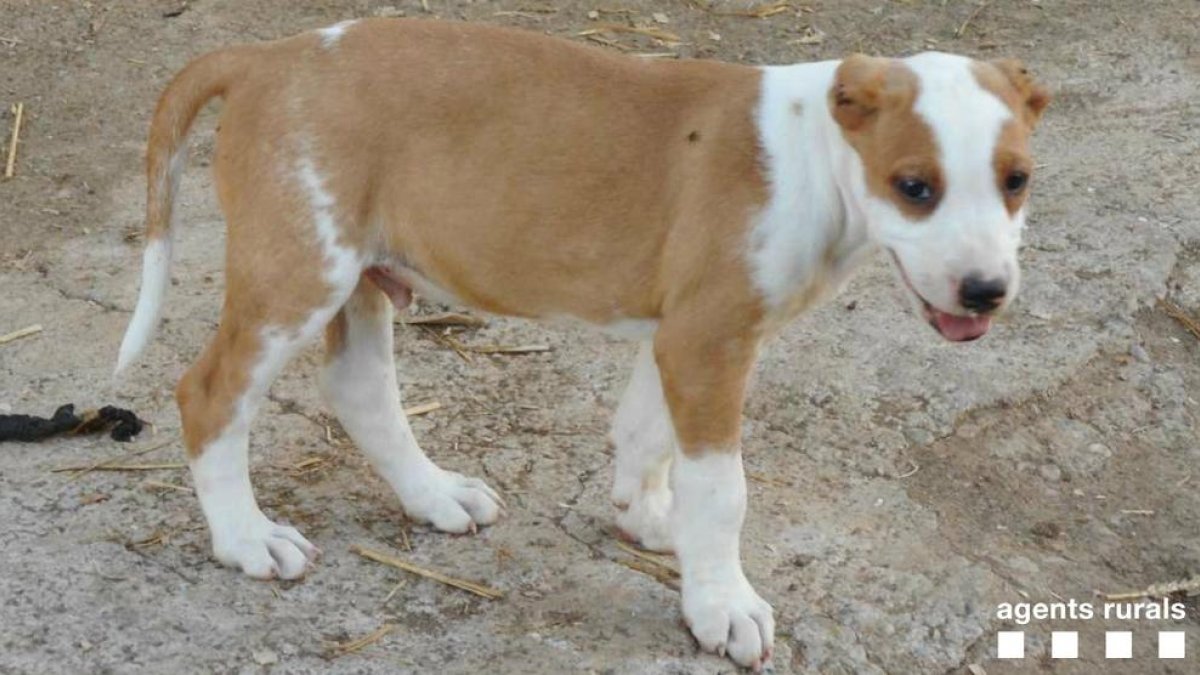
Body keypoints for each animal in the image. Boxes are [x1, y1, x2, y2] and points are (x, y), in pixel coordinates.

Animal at [117, 19, 1046, 667]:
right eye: (915, 186)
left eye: (1017, 180)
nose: (986, 291)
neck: (817, 154)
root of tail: (265, 57)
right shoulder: (709, 343)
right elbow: (723, 489)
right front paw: (721, 604)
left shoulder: (679, 334)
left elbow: (645, 435)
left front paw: (649, 520)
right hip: (298, 273)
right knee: (209, 394)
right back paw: (247, 538)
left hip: (357, 273)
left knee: (358, 388)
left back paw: (434, 494)